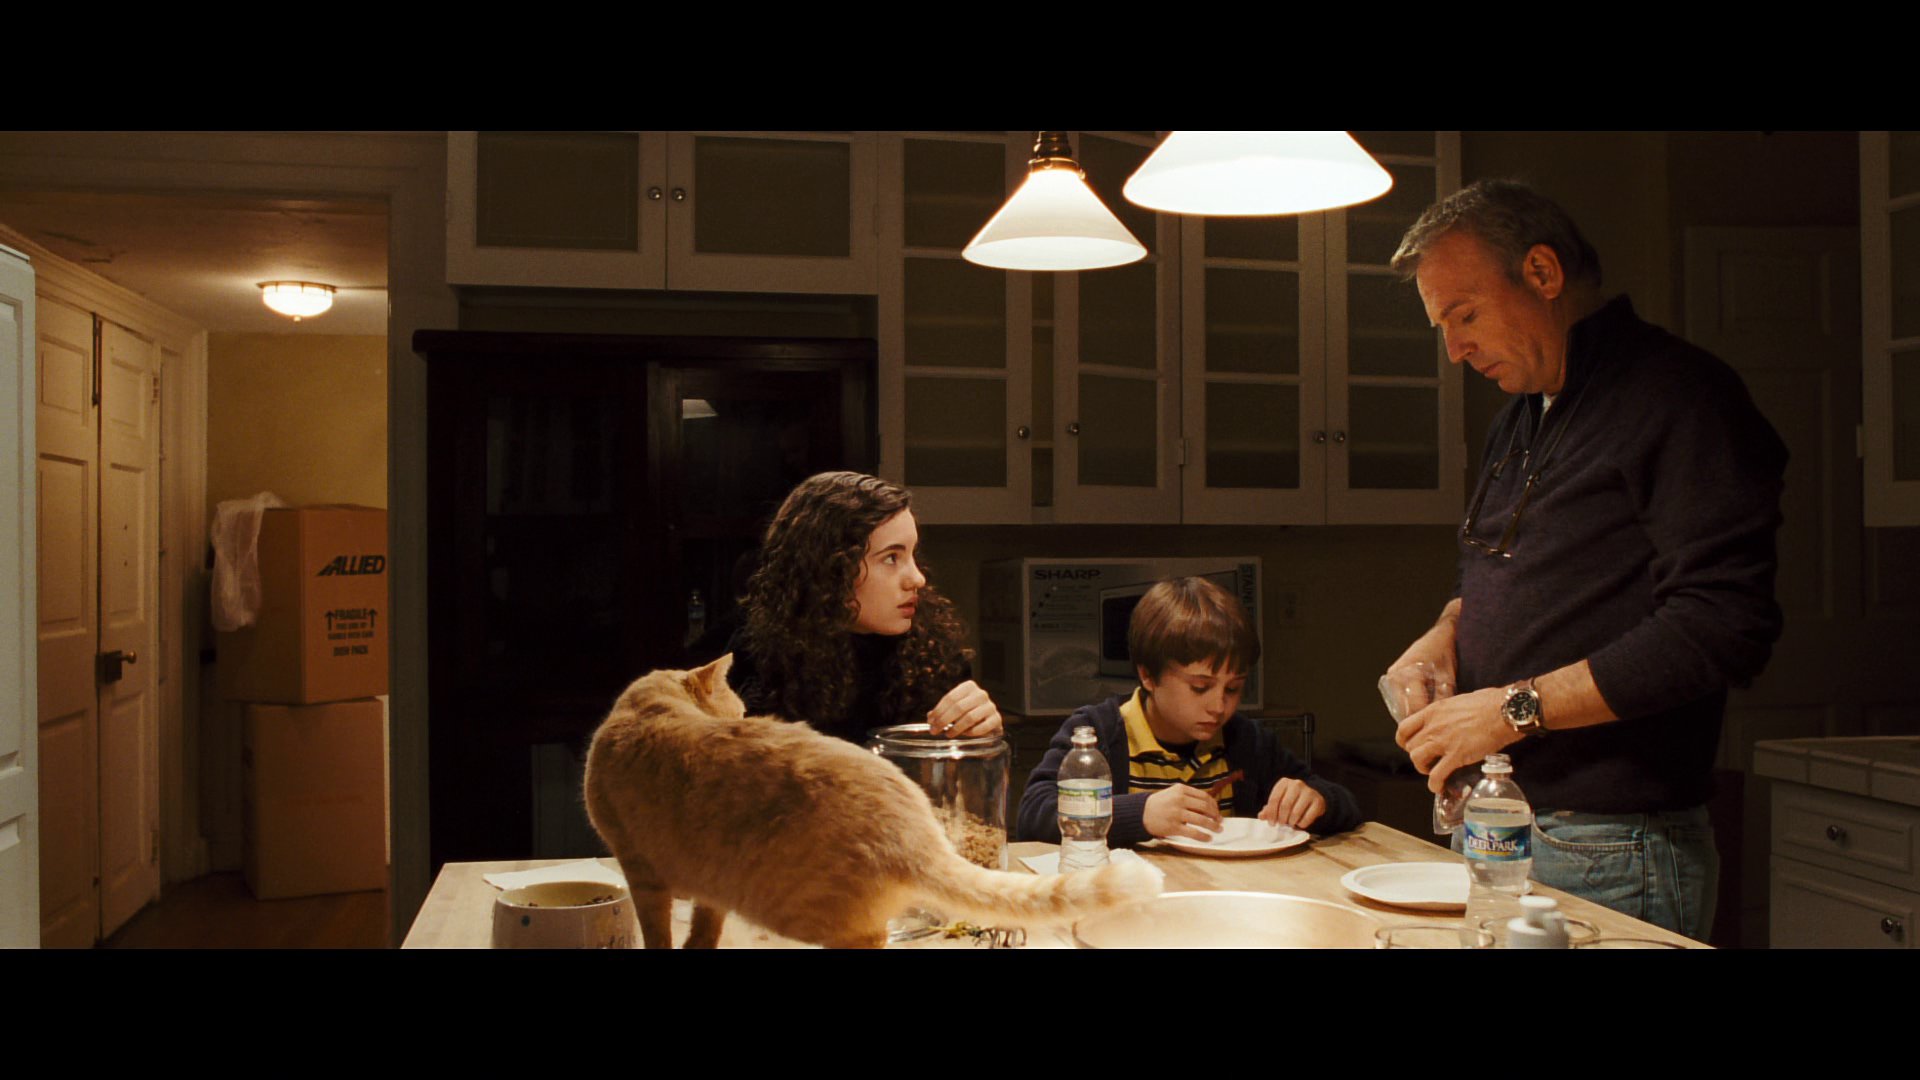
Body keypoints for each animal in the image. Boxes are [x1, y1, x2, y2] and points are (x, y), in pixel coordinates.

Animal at [583, 653, 1161, 949]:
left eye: (744, 710)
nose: (746, 718)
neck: (654, 706)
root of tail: (913, 829)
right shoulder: (707, 892)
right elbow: (700, 936)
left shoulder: (642, 875)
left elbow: (660, 937)